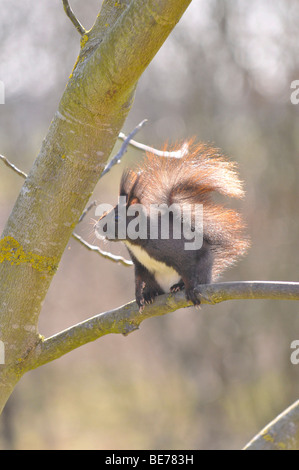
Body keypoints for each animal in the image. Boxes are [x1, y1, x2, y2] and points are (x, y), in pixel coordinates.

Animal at [97, 140, 250, 308]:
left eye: (117, 217)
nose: (97, 227)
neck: (136, 243)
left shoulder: (181, 253)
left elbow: (187, 270)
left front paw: (189, 289)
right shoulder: (139, 265)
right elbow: (138, 279)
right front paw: (138, 296)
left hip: (202, 267)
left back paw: (179, 286)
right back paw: (150, 294)